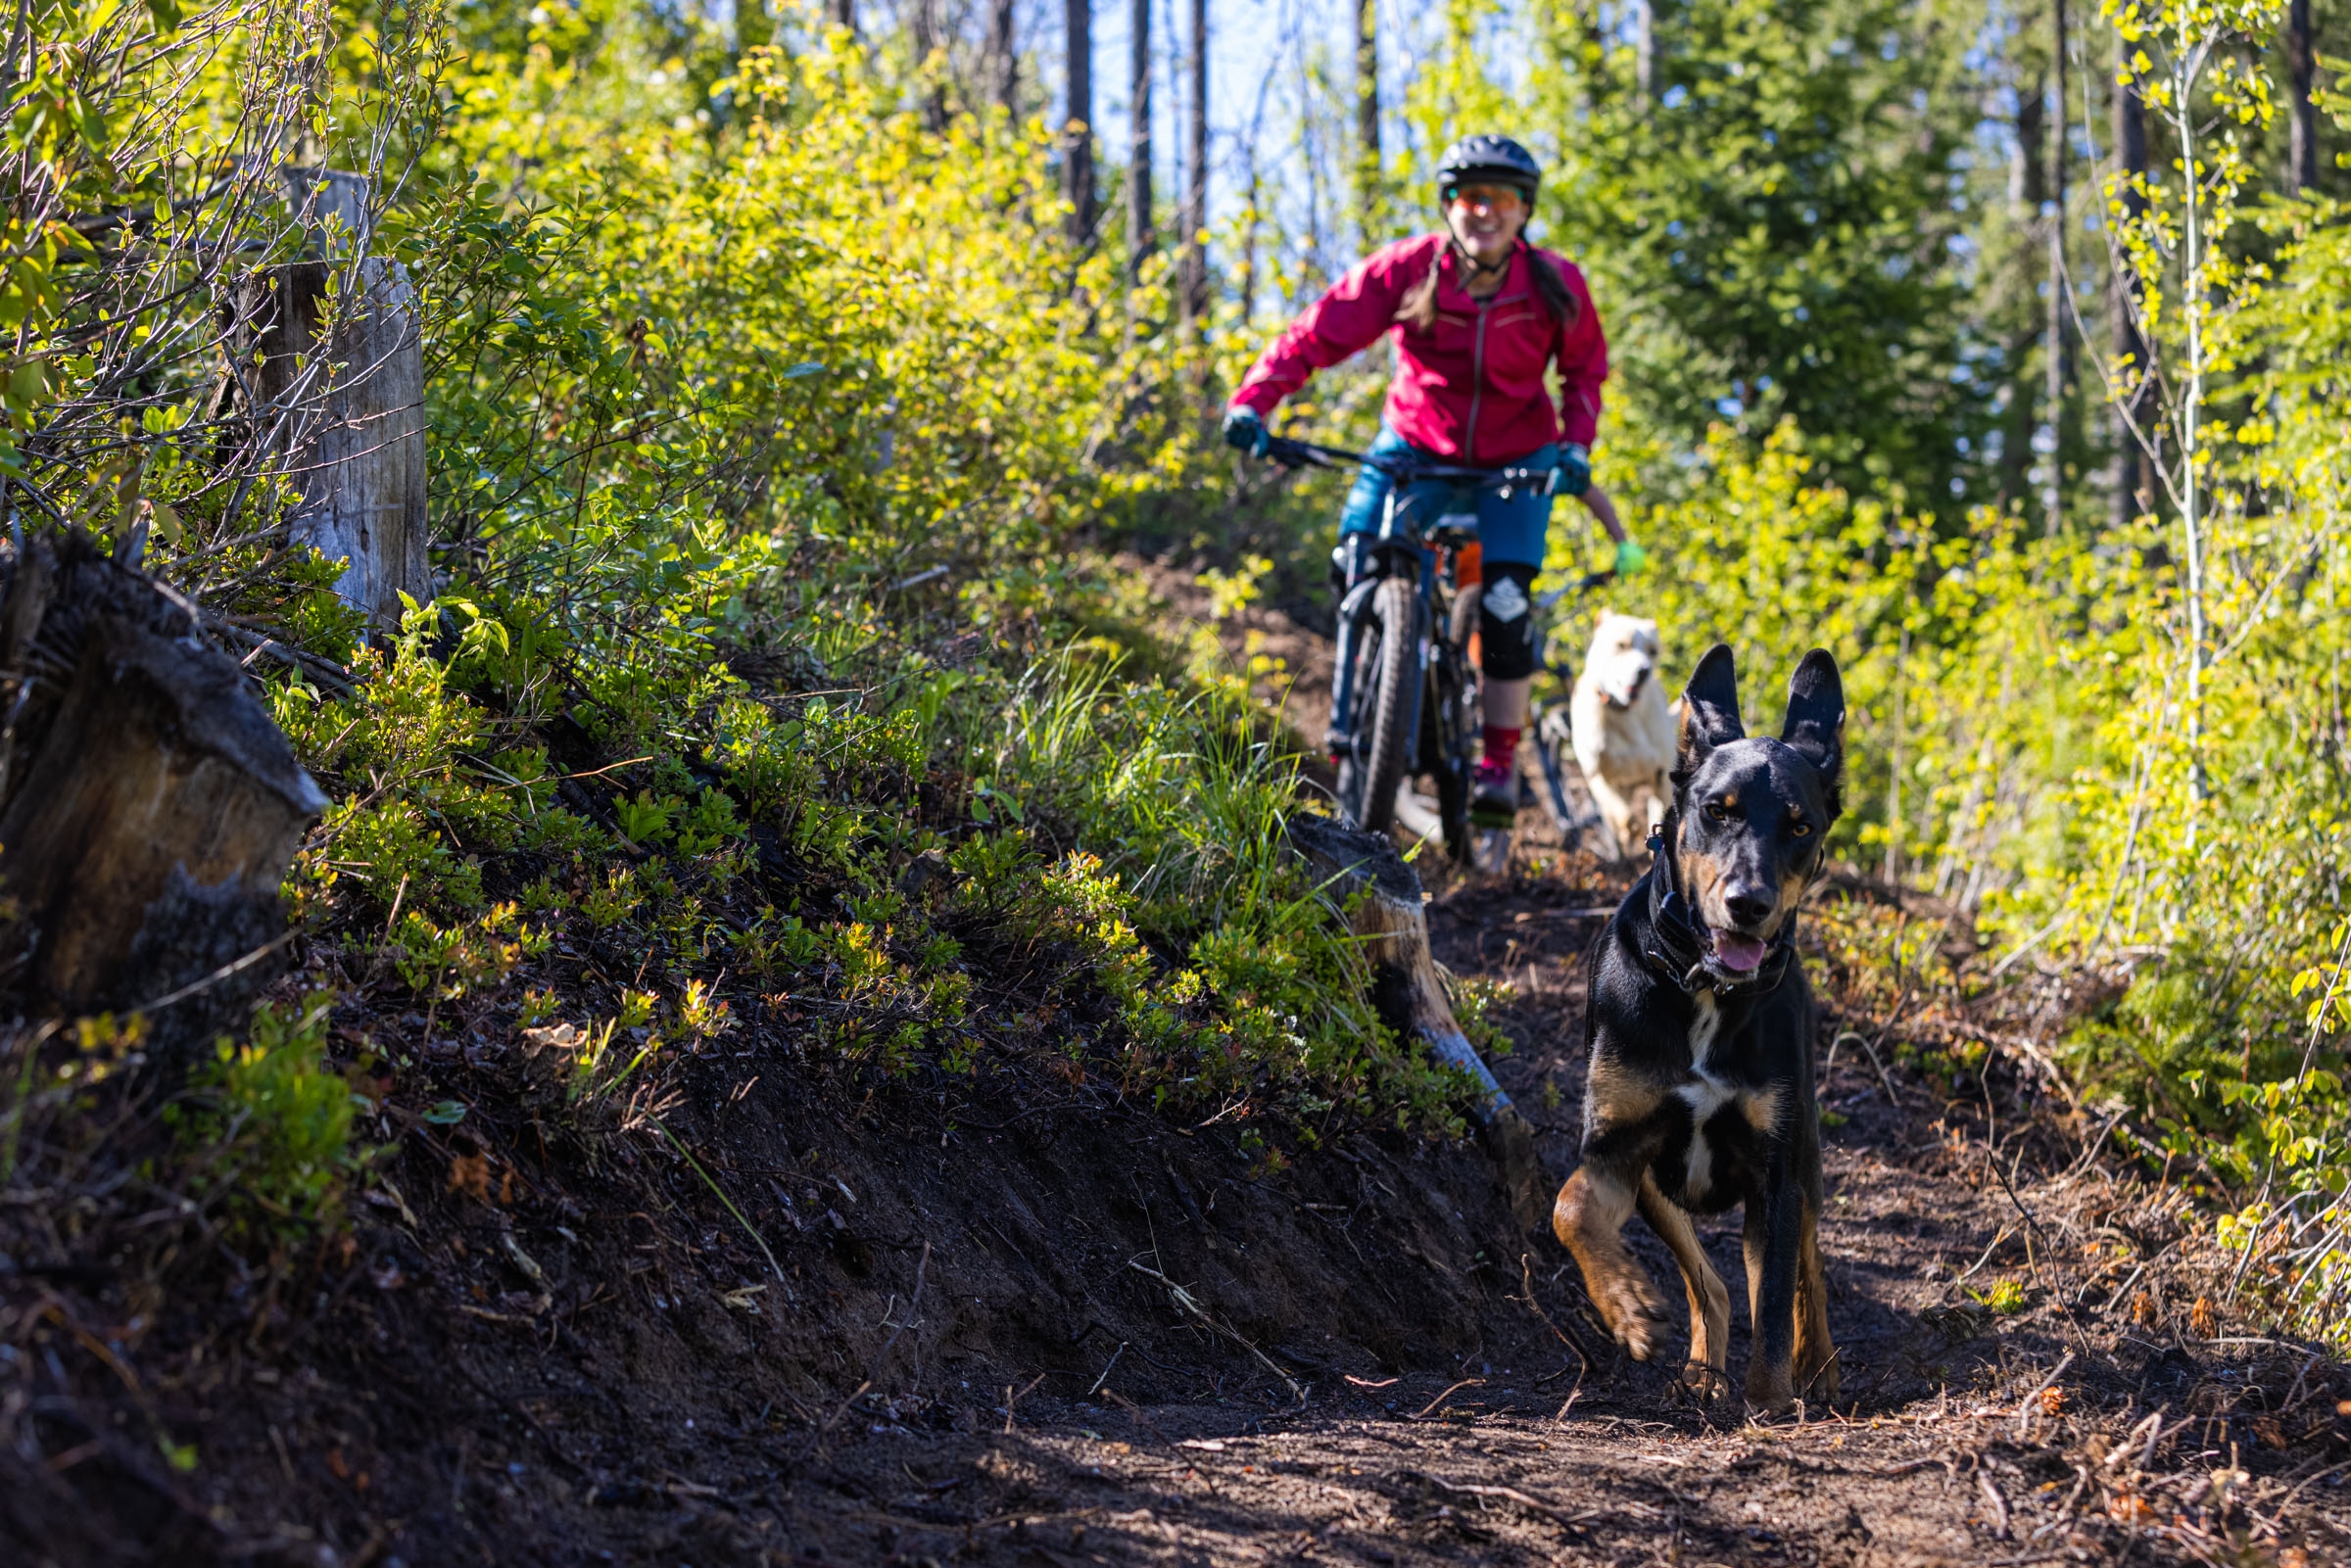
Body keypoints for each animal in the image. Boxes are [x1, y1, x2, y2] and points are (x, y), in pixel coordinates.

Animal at [1551, 643, 1843, 1417]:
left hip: (1805, 1156)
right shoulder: (1617, 1145)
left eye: (1799, 825)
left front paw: (1769, 1407)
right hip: (1660, 1187)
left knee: (1807, 1272)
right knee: (1706, 1282)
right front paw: (1627, 1306)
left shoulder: (1777, 1175)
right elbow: (1570, 1208)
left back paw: (1818, 1369)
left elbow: (1774, 1303)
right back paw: (1699, 1373)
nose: (1749, 903)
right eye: (1718, 811)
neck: (1706, 989)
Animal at [1569, 611, 1675, 860]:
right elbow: (1622, 814)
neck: (1624, 713)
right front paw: (1630, 828)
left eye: (1652, 650)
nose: (1644, 671)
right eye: (1621, 645)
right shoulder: (1596, 776)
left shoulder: (1661, 775)